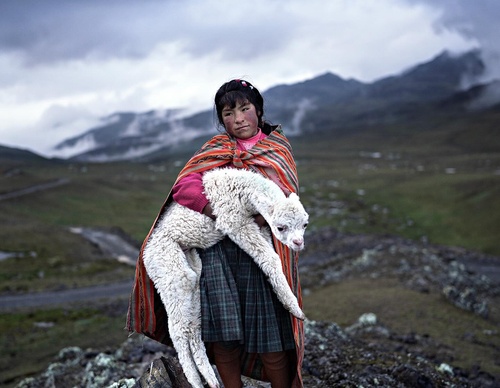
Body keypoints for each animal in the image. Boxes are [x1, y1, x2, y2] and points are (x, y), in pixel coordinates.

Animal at [143, 169, 308, 388]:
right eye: (281, 227)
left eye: (305, 224)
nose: (298, 243)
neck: (242, 191)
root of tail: (147, 253)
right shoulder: (234, 221)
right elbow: (270, 257)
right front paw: (295, 308)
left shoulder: (258, 225)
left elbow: (270, 257)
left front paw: (290, 304)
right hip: (170, 272)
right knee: (177, 330)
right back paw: (194, 381)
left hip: (191, 273)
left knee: (192, 328)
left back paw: (210, 379)